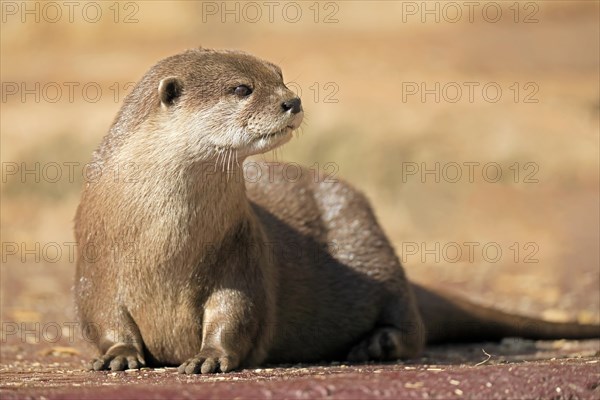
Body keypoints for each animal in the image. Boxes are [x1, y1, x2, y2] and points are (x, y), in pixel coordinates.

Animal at [76, 48, 600, 374]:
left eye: (279, 75)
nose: (292, 100)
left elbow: (237, 311)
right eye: (242, 88)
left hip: (368, 239)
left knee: (411, 322)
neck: (164, 245)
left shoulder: (240, 255)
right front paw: (119, 355)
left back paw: (377, 344)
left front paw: (208, 356)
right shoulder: (95, 265)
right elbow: (102, 316)